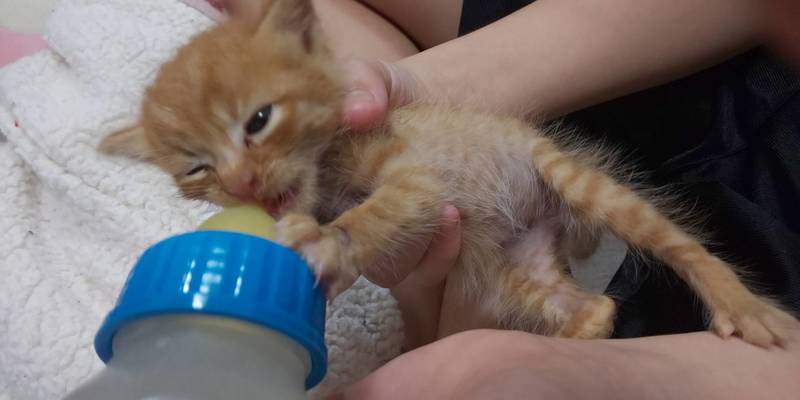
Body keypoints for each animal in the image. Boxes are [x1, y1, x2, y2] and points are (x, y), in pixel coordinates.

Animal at [99, 0, 796, 347]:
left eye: (259, 120)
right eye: (197, 169)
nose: (242, 184)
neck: (330, 173)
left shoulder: (416, 181)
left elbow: (373, 214)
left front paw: (327, 242)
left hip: (573, 178)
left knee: (680, 245)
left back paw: (746, 309)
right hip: (514, 273)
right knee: (595, 305)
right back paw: (573, 336)